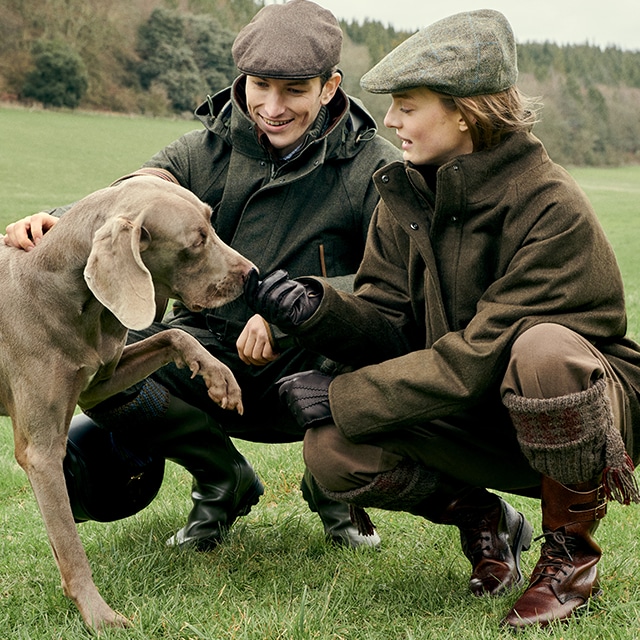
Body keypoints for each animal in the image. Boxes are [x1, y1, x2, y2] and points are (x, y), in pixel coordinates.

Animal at [0, 175, 255, 632]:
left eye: (212, 220)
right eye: (197, 241)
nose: (251, 274)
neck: (66, 293)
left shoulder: (99, 382)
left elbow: (174, 335)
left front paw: (218, 376)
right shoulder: (41, 454)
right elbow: (69, 544)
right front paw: (99, 617)